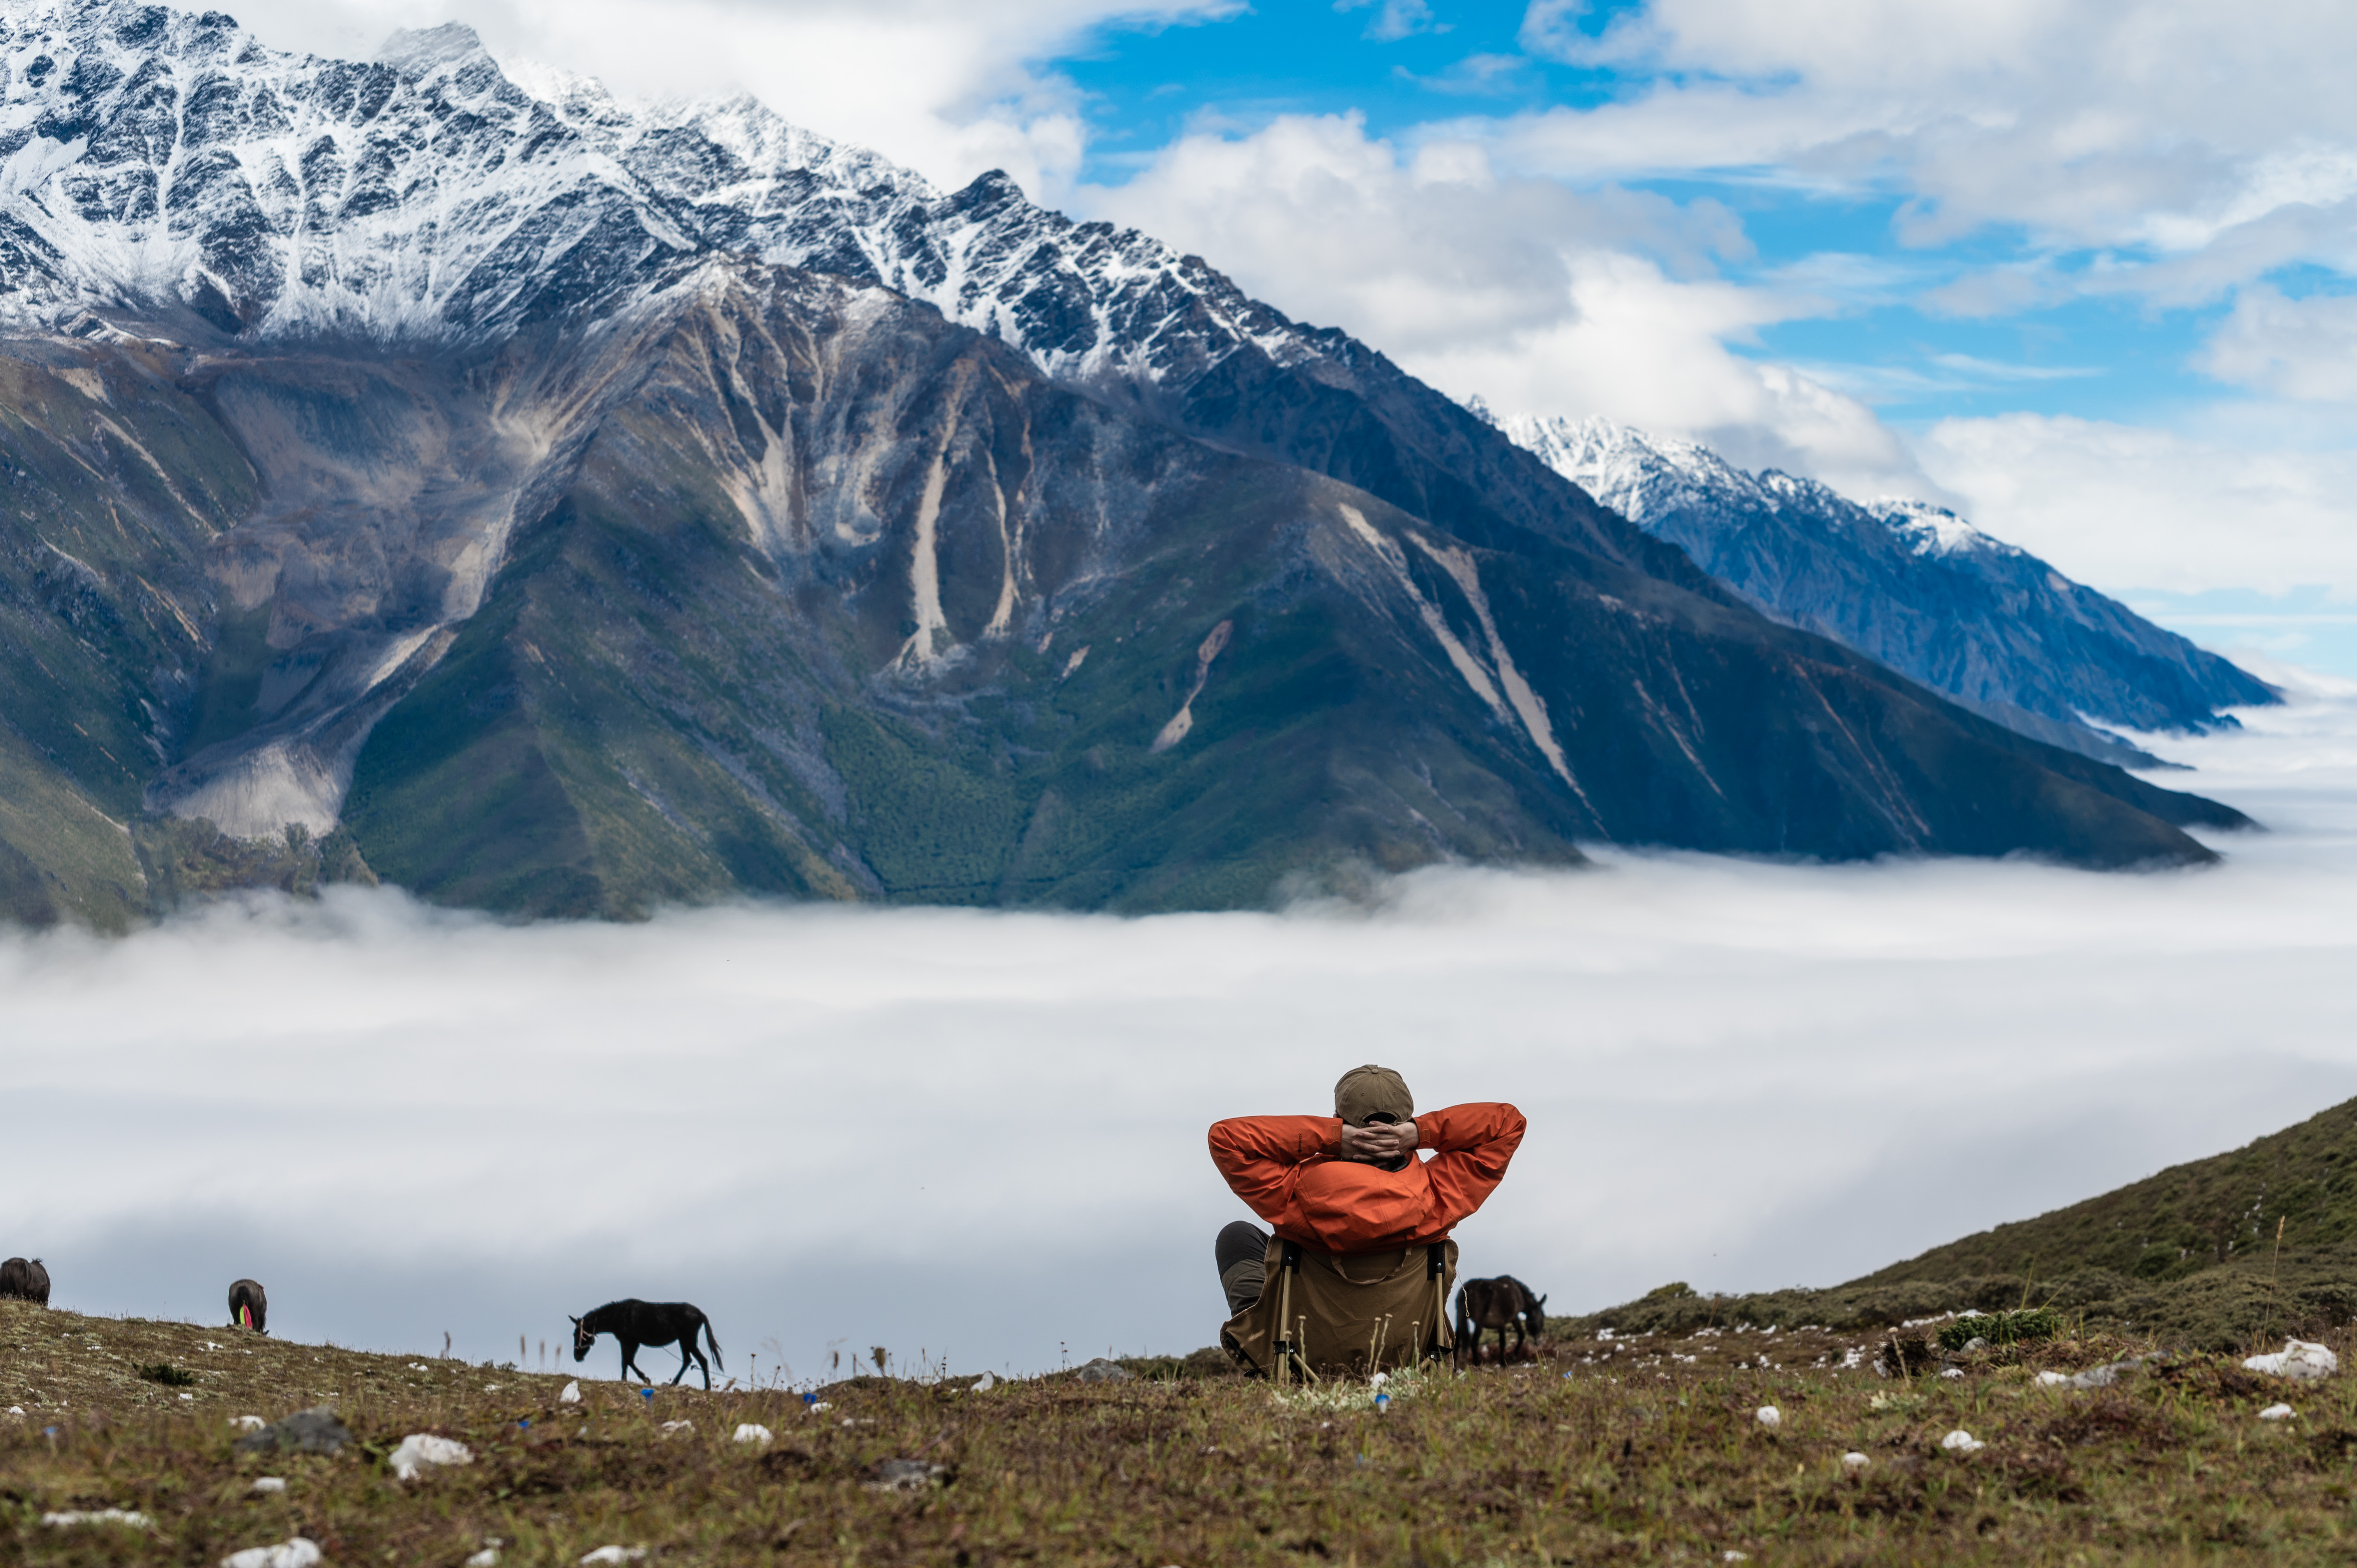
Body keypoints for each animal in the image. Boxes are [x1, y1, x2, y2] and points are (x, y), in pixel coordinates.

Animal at [568, 1292, 716, 1386]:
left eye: (576, 1334)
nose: (577, 1357)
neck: (618, 1315)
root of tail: (700, 1313)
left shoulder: (630, 1342)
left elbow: (627, 1361)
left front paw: (641, 1380)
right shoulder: (630, 1342)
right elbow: (627, 1361)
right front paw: (632, 1380)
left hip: (688, 1341)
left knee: (701, 1360)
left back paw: (704, 1387)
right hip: (684, 1341)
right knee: (689, 1361)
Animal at [1452, 1282, 1546, 1367]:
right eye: (1542, 1317)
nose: (1538, 1341)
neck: (1519, 1294)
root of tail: (1467, 1289)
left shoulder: (1500, 1324)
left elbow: (1502, 1342)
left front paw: (1503, 1362)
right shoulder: (1512, 1319)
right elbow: (1517, 1337)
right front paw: (1508, 1360)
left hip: (1460, 1319)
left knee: (1457, 1343)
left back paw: (1455, 1367)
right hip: (1479, 1323)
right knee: (1474, 1342)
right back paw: (1477, 1364)